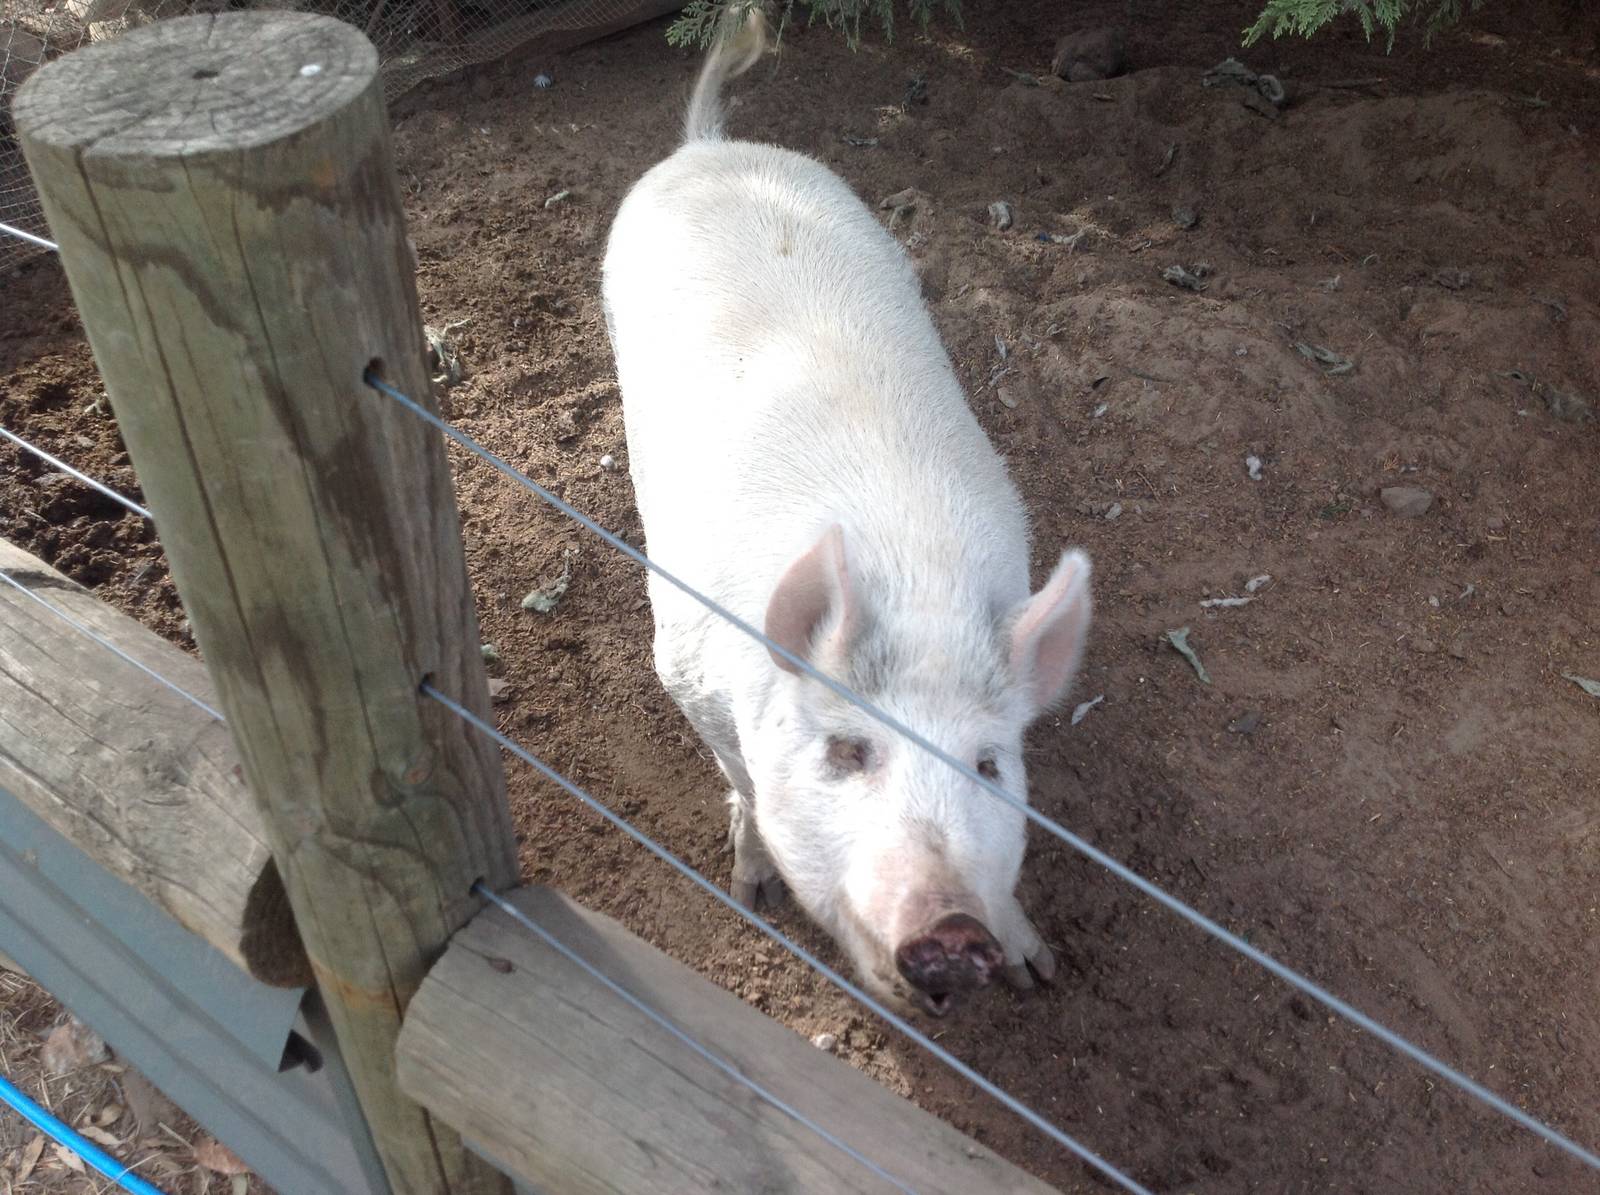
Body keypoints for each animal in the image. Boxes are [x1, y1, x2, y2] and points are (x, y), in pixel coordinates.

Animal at [601, 8, 1092, 1017]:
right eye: (847, 751)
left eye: (990, 765)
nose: (957, 931)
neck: (915, 578)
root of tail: (709, 147)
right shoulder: (684, 672)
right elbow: (745, 786)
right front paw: (750, 889)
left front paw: (1042, 965)